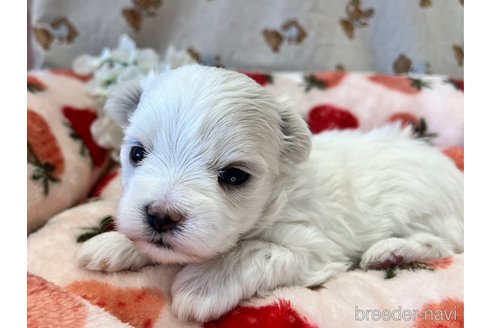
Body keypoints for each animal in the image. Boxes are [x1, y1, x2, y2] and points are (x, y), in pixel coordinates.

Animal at [76, 65, 462, 322]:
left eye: (234, 176)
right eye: (136, 154)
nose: (160, 215)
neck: (277, 195)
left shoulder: (313, 246)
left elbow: (253, 251)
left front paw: (204, 286)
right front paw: (112, 244)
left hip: (426, 207)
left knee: (444, 244)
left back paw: (391, 252)